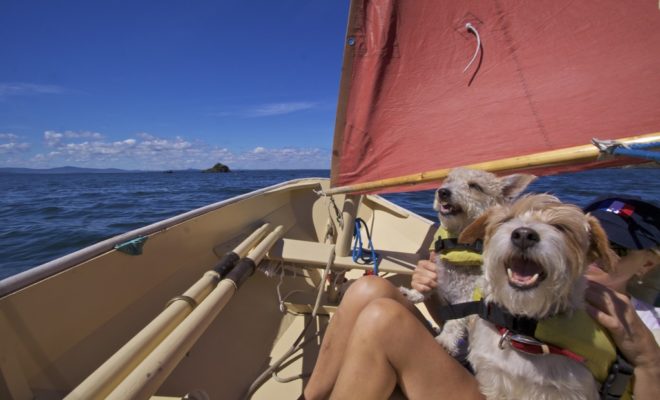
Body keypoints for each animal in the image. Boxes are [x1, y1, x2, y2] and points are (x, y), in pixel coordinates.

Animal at [402, 167, 536, 354]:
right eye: (447, 179)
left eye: (475, 186)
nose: (443, 192)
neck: (459, 241)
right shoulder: (439, 272)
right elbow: (427, 287)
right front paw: (413, 294)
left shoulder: (470, 295)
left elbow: (456, 319)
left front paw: (446, 340)